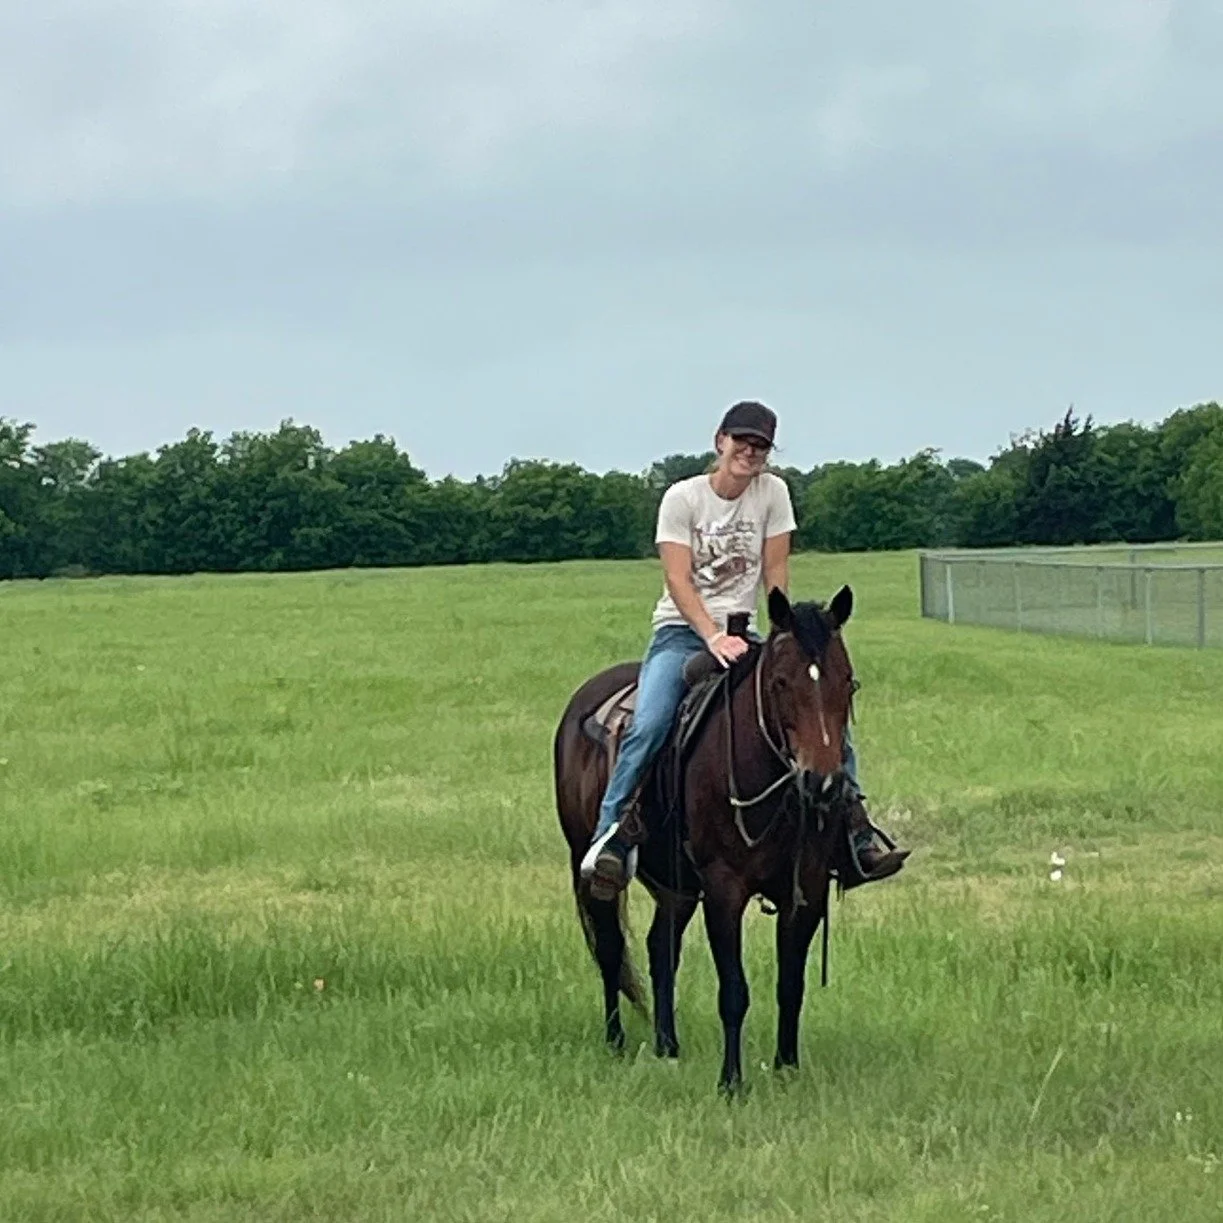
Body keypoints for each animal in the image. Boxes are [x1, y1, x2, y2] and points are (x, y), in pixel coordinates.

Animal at [554, 585, 861, 1093]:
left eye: (849, 682)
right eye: (780, 683)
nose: (823, 784)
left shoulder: (808, 890)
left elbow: (791, 984)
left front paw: (787, 1069)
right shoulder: (723, 888)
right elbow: (734, 990)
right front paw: (731, 1083)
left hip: (676, 887)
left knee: (661, 948)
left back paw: (667, 1046)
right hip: (589, 864)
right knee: (611, 949)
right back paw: (616, 1043)